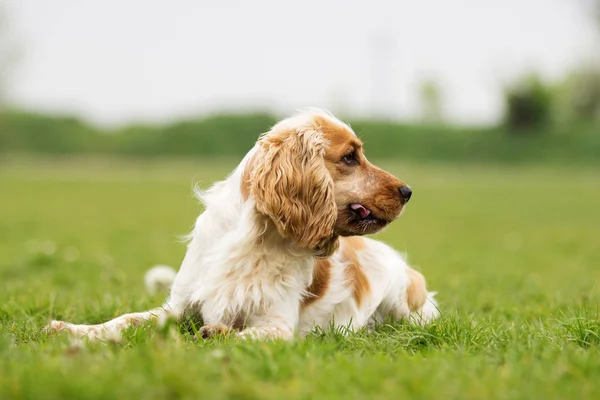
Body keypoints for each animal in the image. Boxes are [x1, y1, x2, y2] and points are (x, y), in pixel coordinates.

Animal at [44, 108, 438, 340]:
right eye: (350, 157)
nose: (408, 191)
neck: (257, 239)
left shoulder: (277, 326)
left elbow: (241, 334)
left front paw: (215, 333)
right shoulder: (177, 307)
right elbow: (122, 320)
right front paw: (72, 329)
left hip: (403, 304)